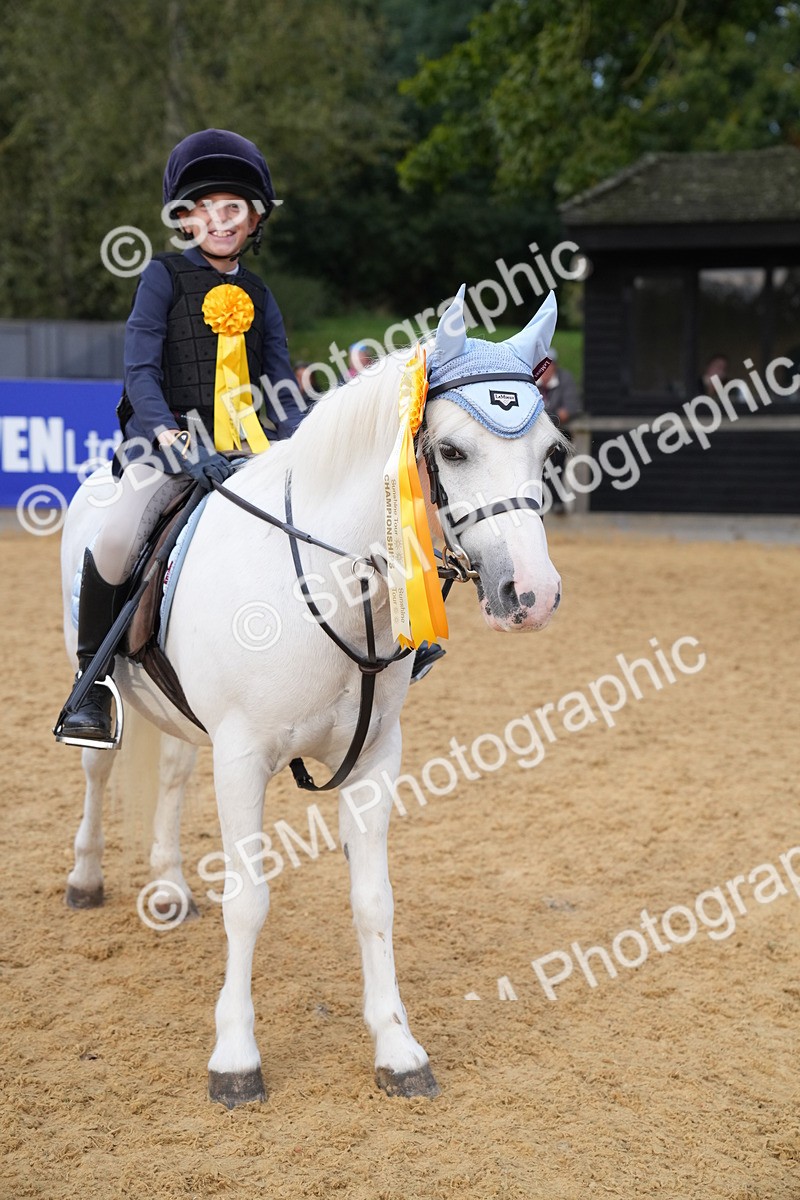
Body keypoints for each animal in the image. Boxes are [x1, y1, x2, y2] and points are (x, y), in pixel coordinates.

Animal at [59, 286, 566, 1108]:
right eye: (453, 450)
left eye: (550, 452)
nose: (534, 594)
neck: (334, 586)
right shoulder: (242, 759)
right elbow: (248, 901)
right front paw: (235, 1060)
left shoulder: (376, 760)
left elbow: (374, 901)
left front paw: (397, 1049)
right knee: (98, 769)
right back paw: (85, 878)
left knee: (170, 772)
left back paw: (167, 889)